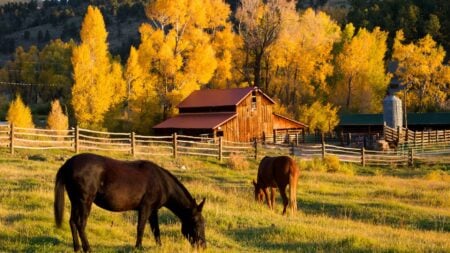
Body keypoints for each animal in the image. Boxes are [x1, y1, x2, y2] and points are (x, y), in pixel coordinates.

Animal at [54, 153, 206, 252]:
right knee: (81, 224)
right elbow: (141, 228)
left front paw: (159, 246)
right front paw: (138, 247)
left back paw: (77, 248)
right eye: (196, 223)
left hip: (75, 201)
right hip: (85, 202)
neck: (162, 182)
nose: (203, 246)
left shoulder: (153, 211)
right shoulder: (145, 208)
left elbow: (156, 229)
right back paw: (88, 248)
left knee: (72, 222)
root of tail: (69, 163)